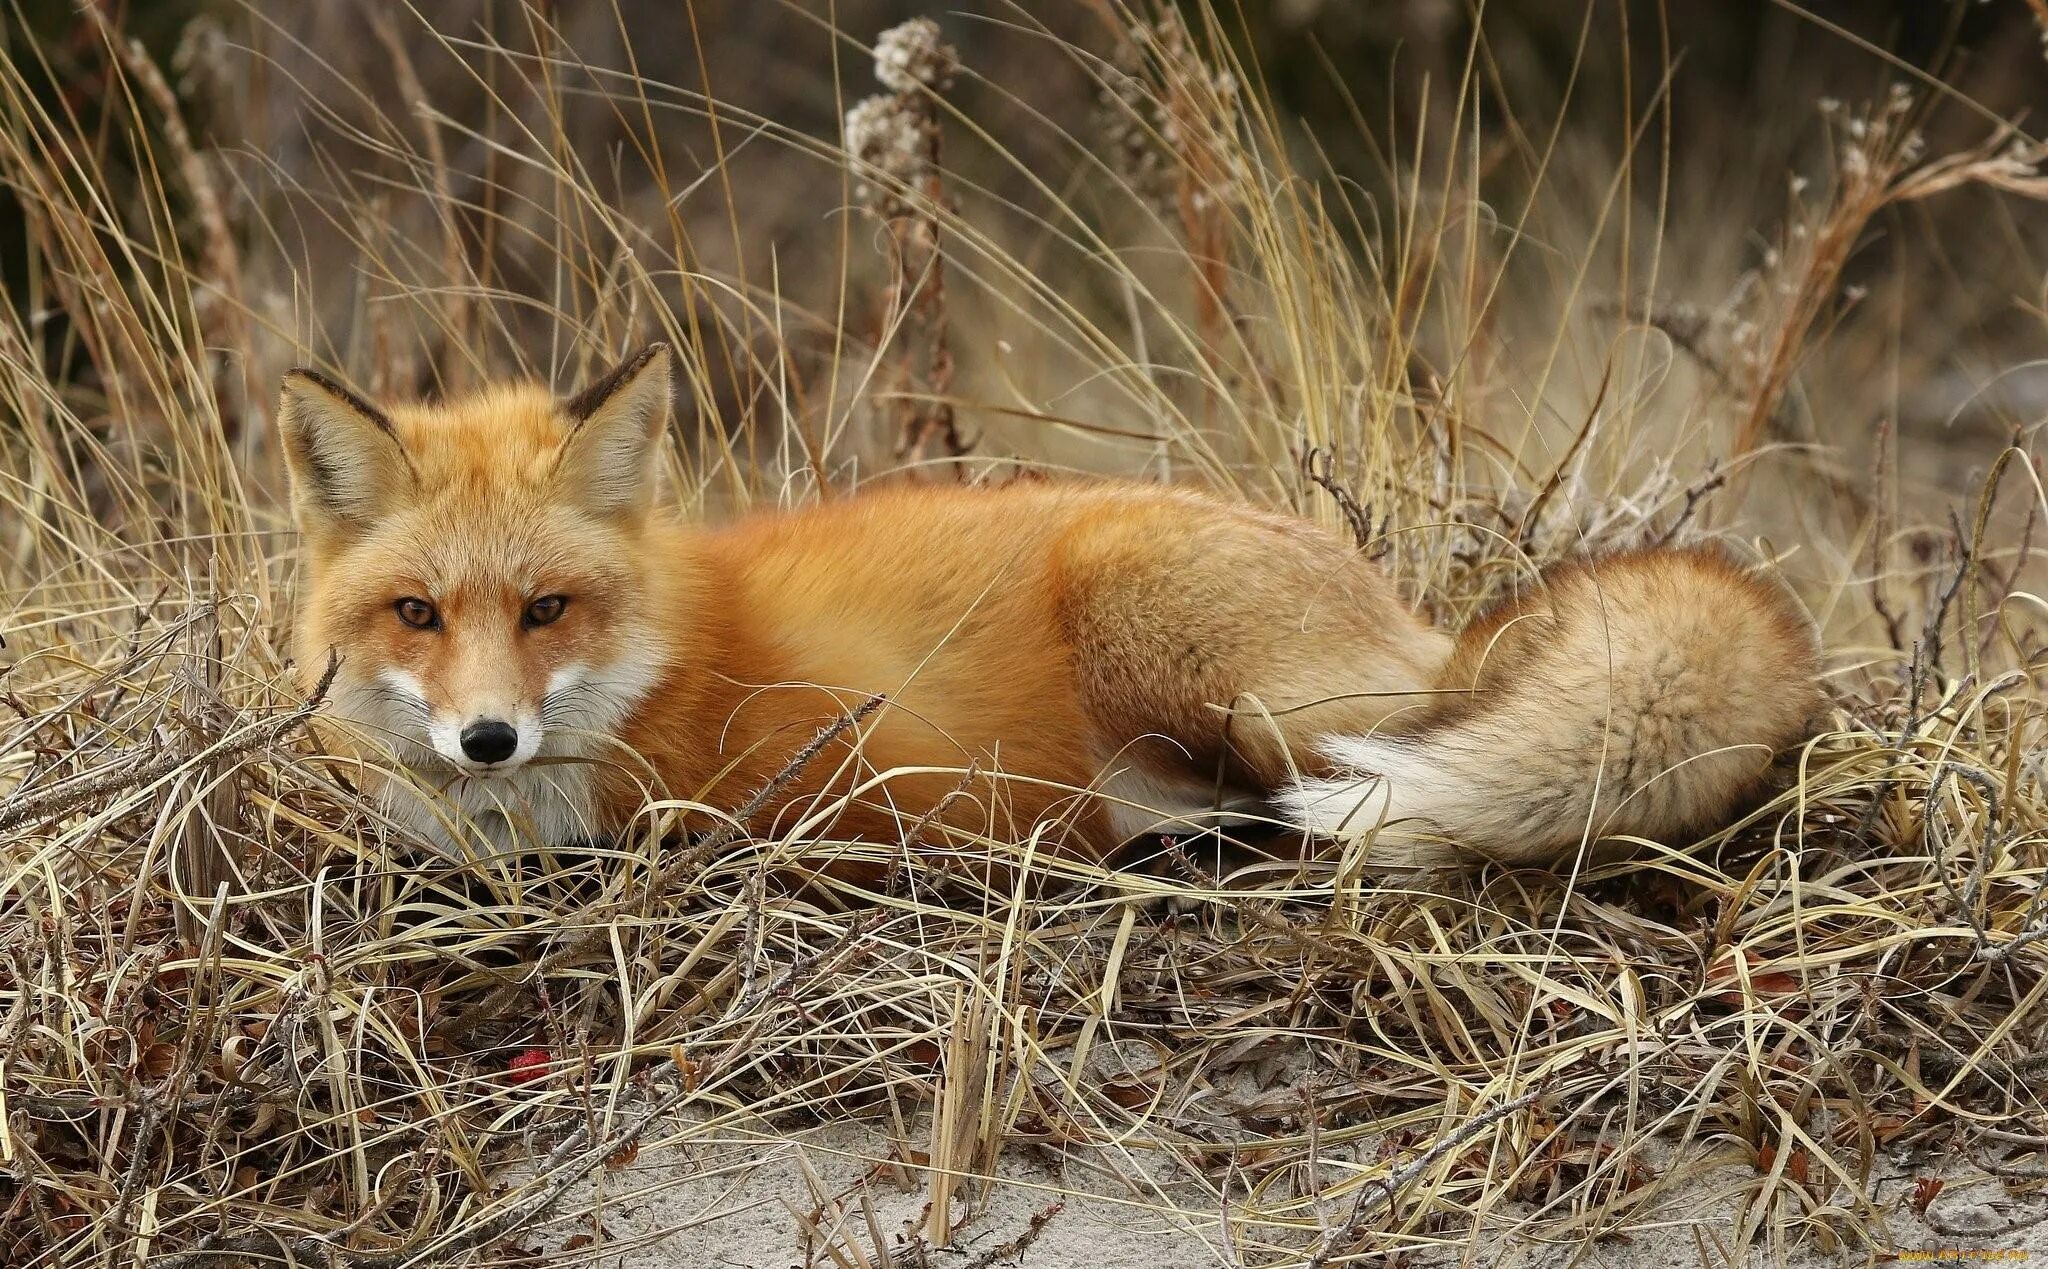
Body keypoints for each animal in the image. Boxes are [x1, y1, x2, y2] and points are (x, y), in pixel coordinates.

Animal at [276, 341, 1826, 867]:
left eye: (546, 610)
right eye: (417, 614)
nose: (487, 739)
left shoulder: (770, 793)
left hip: (1176, 642)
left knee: (1353, 782)